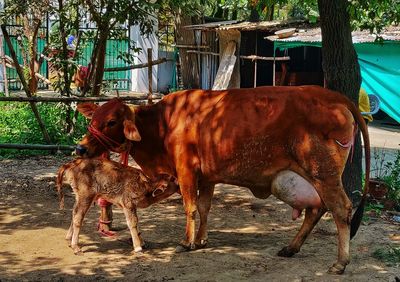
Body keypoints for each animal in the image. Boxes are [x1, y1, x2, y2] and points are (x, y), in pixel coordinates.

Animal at [75, 86, 368, 274]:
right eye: (94, 118)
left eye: (111, 121)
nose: (81, 148)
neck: (162, 124)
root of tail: (335, 96)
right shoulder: (207, 177)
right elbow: (205, 208)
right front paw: (202, 239)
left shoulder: (186, 171)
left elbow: (190, 207)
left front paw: (187, 242)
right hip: (308, 178)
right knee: (316, 209)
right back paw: (291, 247)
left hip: (324, 174)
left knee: (341, 209)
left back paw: (340, 263)